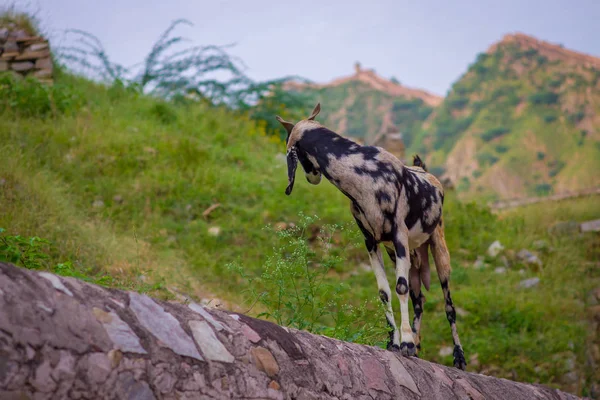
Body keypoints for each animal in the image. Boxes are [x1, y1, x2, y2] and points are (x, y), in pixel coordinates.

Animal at [276, 102, 468, 368]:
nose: (310, 177)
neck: (364, 171)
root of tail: (426, 172)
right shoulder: (372, 242)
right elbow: (384, 292)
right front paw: (395, 344)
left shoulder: (398, 235)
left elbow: (400, 288)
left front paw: (406, 343)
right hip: (408, 254)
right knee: (419, 298)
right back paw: (417, 344)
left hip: (438, 249)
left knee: (449, 305)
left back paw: (458, 356)